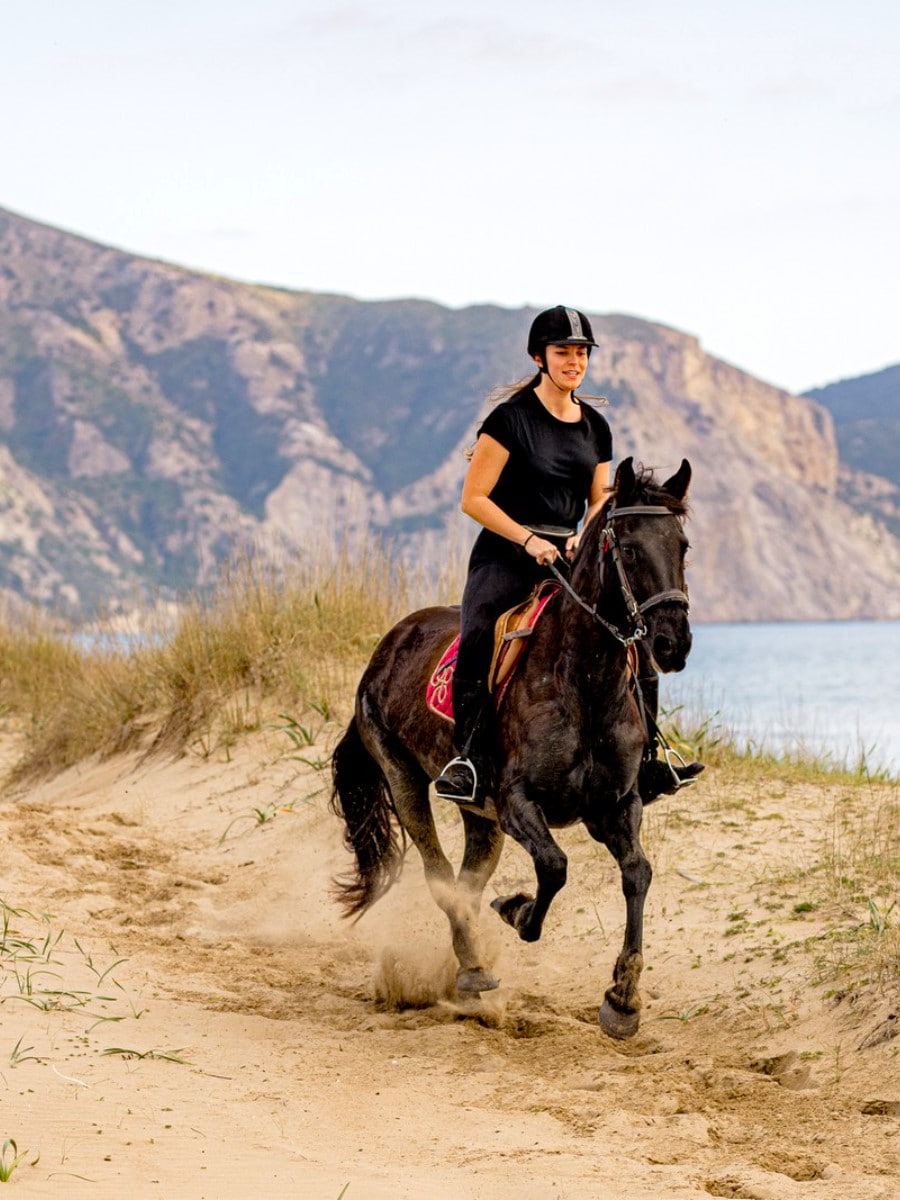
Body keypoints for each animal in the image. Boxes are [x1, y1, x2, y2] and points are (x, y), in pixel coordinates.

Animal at [329, 456, 693, 1039]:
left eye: (682, 546)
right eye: (632, 549)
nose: (672, 644)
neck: (583, 681)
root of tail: (387, 646)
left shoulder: (615, 805)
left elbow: (638, 872)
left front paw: (623, 999)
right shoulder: (517, 801)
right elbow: (554, 865)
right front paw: (519, 911)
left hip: (482, 820)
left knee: (466, 884)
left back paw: (466, 969)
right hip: (406, 780)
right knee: (441, 879)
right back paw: (475, 970)